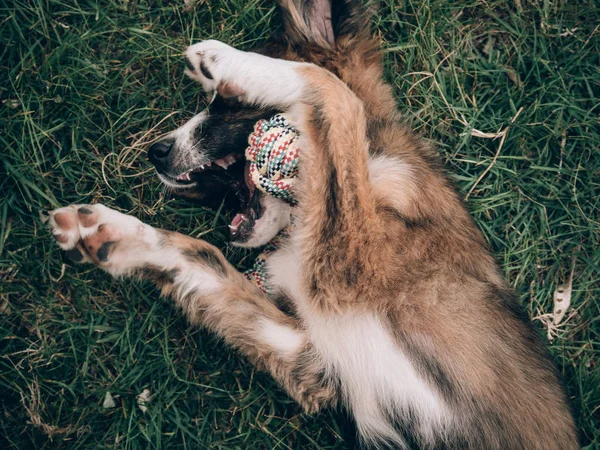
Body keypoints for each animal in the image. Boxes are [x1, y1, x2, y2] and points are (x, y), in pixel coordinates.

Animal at [49, 1, 580, 448]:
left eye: (225, 105)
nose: (156, 153)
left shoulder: (355, 265)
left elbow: (337, 94)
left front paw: (227, 62)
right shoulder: (320, 361)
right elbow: (205, 259)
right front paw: (113, 234)